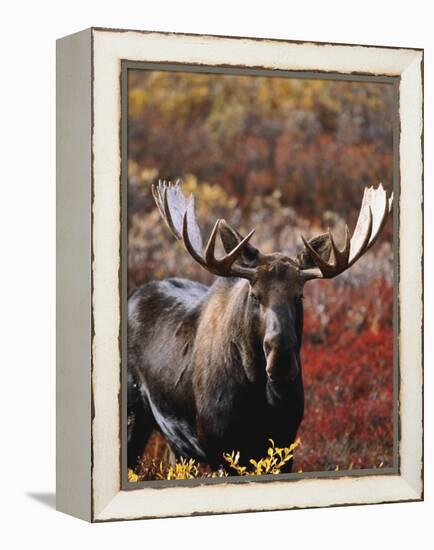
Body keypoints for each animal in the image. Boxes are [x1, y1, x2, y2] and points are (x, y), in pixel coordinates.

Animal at [126, 181, 394, 474]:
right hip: (134, 418)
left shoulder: (285, 443)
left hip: (176, 445)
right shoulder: (219, 448)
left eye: (299, 296)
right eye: (255, 295)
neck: (258, 396)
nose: (282, 360)